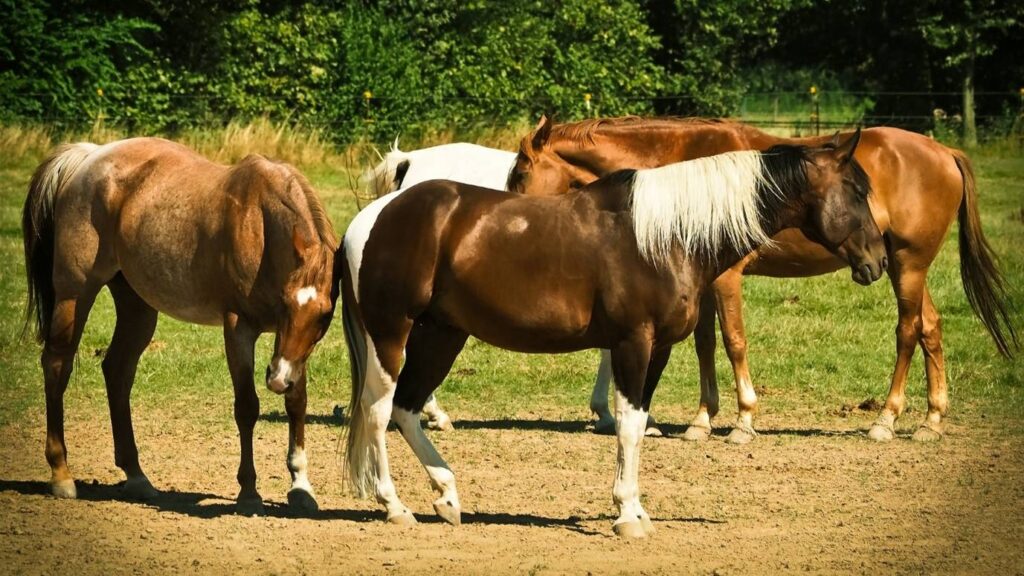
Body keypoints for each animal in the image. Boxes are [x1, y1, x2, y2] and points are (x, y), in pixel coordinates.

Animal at [22, 137, 340, 514]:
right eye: (288, 303)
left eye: (323, 315)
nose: (277, 381)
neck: (260, 226)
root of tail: (89, 156)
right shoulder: (239, 328)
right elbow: (247, 407)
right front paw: (249, 492)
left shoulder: (289, 348)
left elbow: (297, 401)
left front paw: (301, 486)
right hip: (75, 293)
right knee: (57, 365)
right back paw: (61, 474)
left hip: (137, 307)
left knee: (117, 371)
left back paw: (137, 476)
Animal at [340, 132, 886, 537]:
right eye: (857, 191)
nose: (878, 261)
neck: (667, 237)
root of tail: (372, 217)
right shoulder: (633, 344)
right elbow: (626, 424)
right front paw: (627, 516)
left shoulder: (658, 349)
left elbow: (639, 425)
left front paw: (637, 508)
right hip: (391, 335)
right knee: (379, 411)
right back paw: (395, 506)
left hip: (442, 336)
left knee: (408, 408)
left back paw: (447, 495)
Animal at [506, 115, 1017, 443]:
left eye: (520, 175)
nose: (510, 216)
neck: (677, 167)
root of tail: (943, 151)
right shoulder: (701, 280)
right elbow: (705, 344)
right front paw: (701, 420)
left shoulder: (726, 278)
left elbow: (733, 342)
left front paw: (743, 421)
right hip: (903, 266)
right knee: (931, 327)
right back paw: (931, 420)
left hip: (907, 266)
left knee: (908, 331)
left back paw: (886, 421)